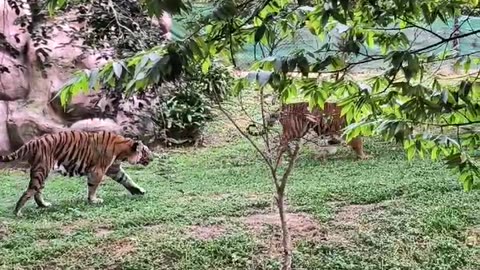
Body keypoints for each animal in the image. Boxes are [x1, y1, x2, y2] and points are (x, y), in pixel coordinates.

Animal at [0, 130, 154, 216]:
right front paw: (94, 200)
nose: (153, 157)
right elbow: (93, 187)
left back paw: (44, 205)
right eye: (146, 151)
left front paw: (138, 191)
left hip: (42, 172)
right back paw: (17, 212)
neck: (122, 151)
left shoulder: (114, 169)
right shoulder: (97, 171)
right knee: (29, 191)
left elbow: (126, 179)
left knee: (37, 192)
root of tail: (33, 142)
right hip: (41, 171)